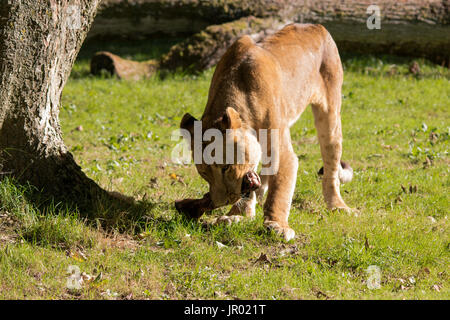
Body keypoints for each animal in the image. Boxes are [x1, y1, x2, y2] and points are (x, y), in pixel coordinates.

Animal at [174, 23, 354, 240]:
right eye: (203, 173)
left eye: (225, 167)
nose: (220, 202)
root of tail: (316, 26)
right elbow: (251, 186)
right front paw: (236, 216)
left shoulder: (283, 153)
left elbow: (279, 192)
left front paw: (276, 225)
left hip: (330, 115)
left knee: (331, 168)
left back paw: (337, 205)